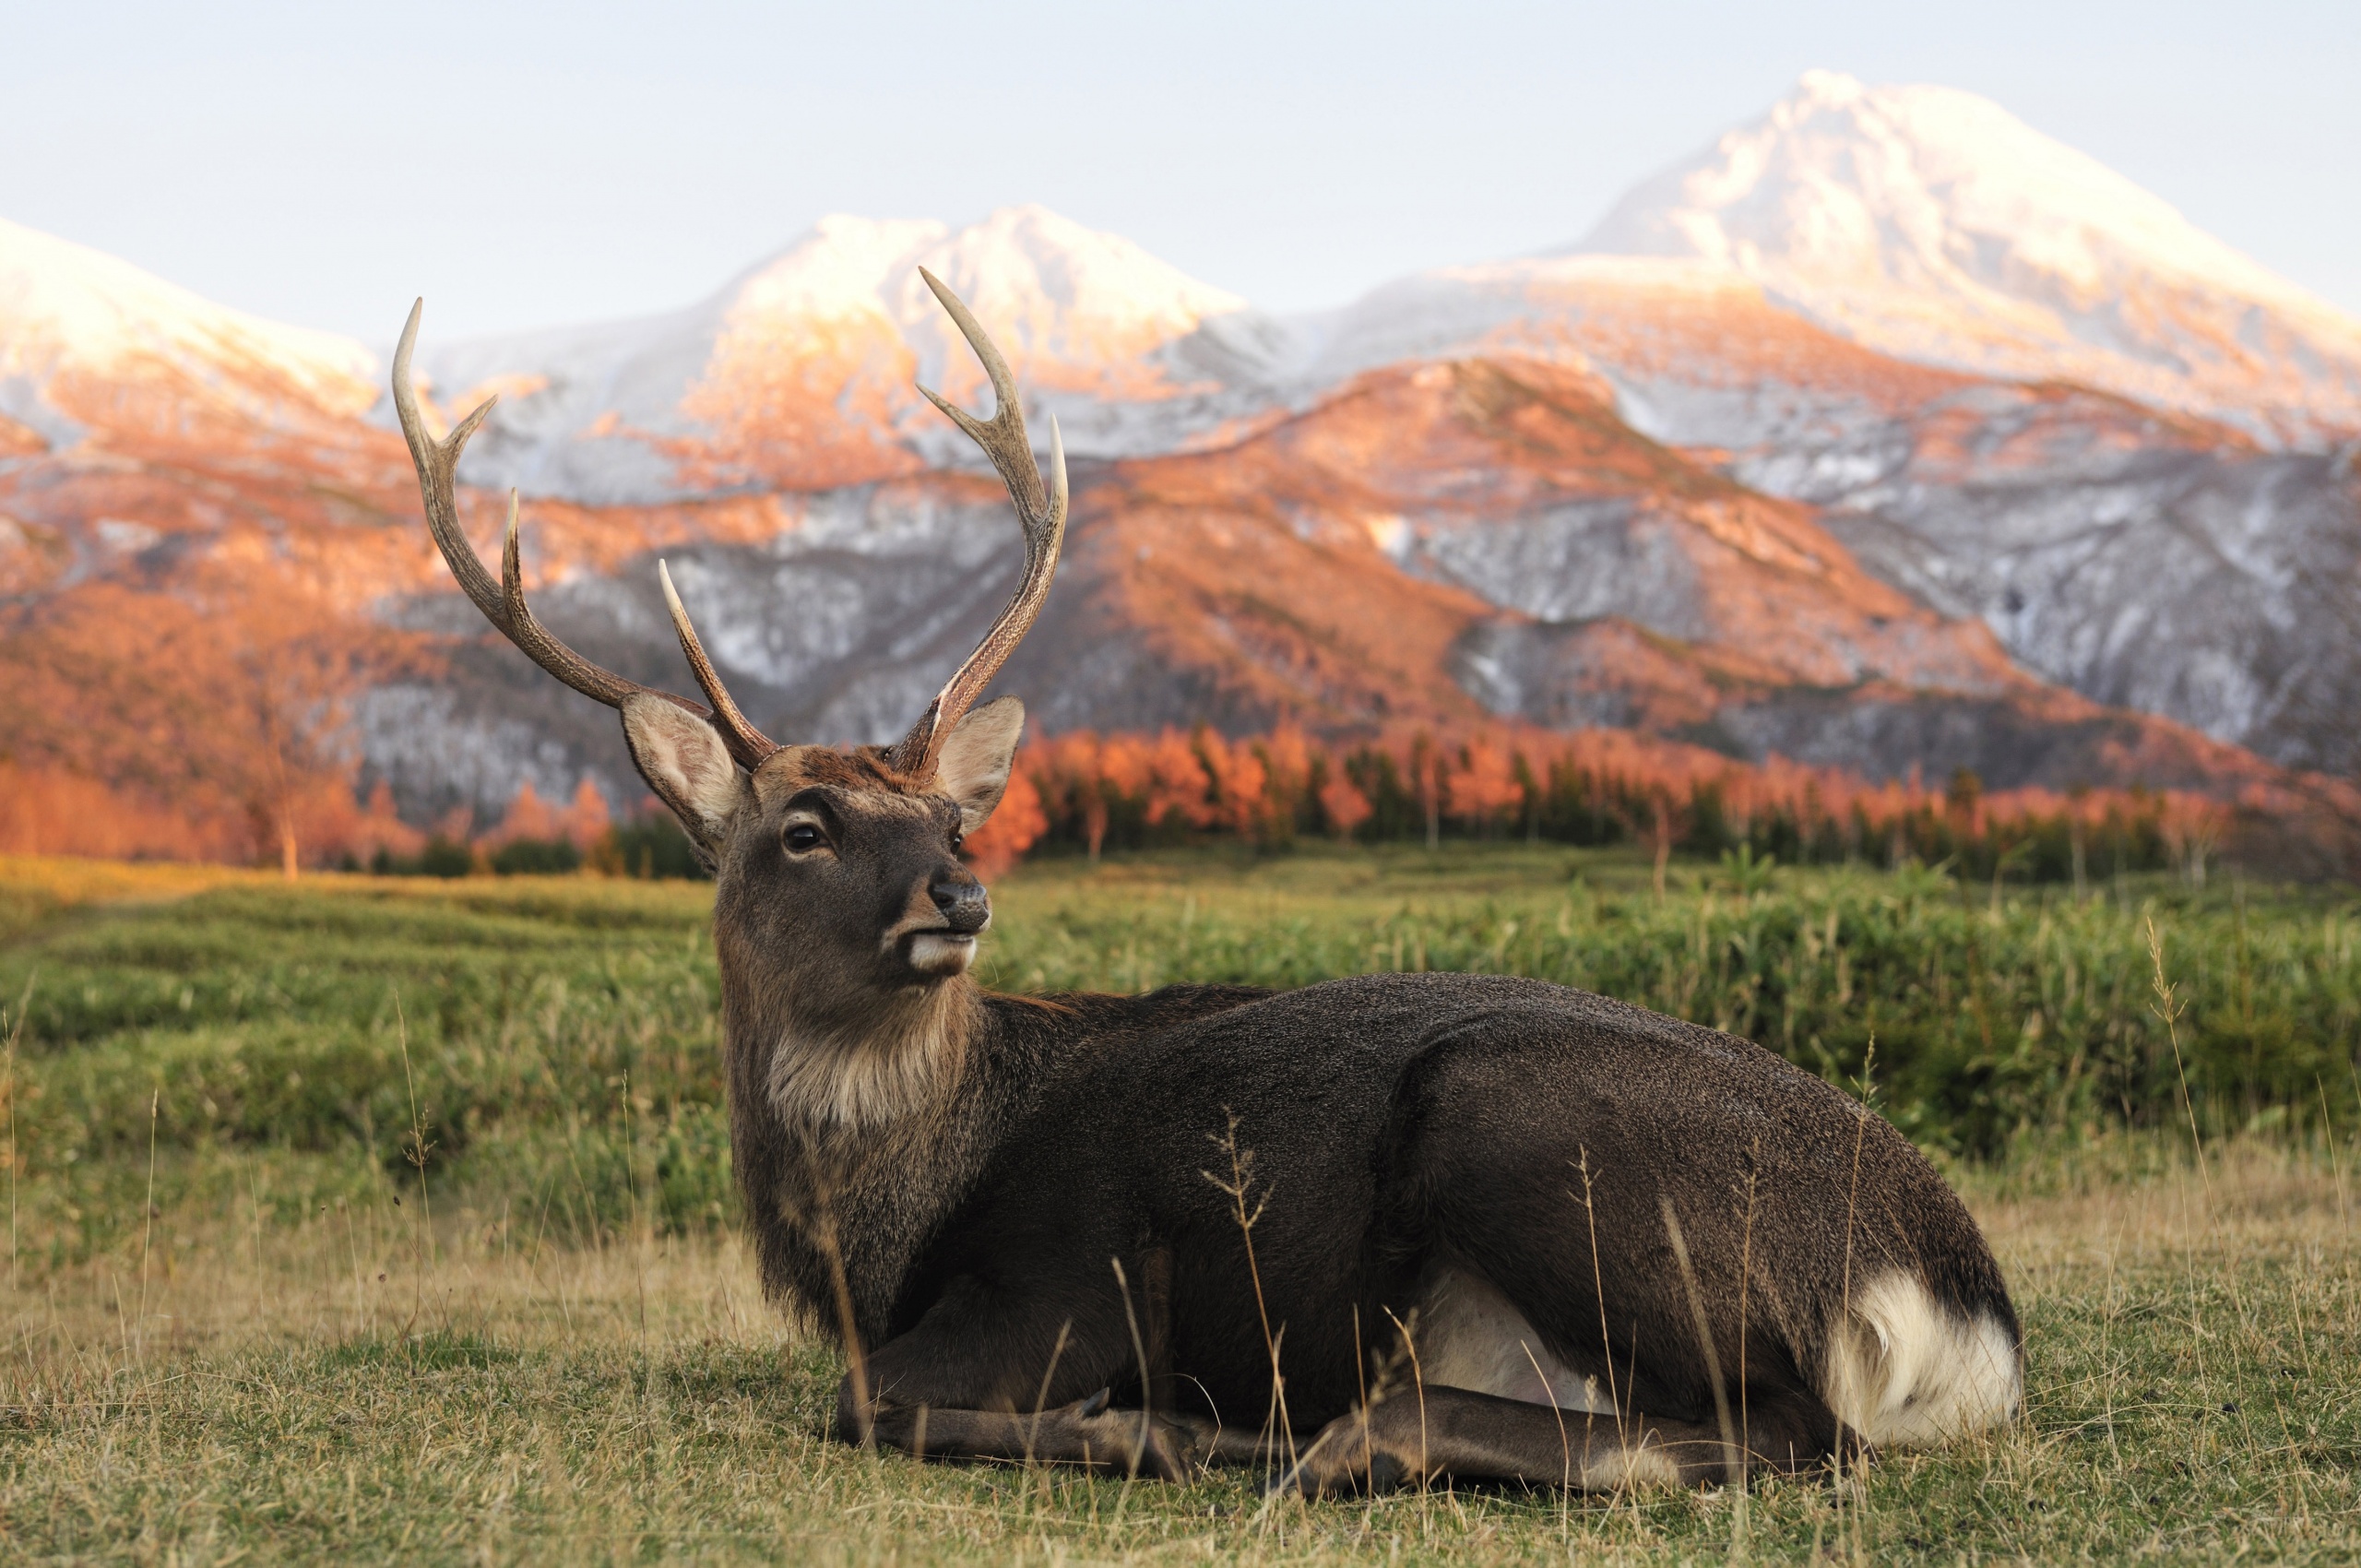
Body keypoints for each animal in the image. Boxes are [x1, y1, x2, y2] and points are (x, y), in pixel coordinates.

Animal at [397, 275, 2021, 1502]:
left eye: (951, 818)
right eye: (802, 827)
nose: (955, 899)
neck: (881, 1229)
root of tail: (1961, 1305)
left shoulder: (1067, 1280)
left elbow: (862, 1403)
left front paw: (1145, 1428)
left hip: (1525, 1126)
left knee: (1790, 1430)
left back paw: (1319, 1437)